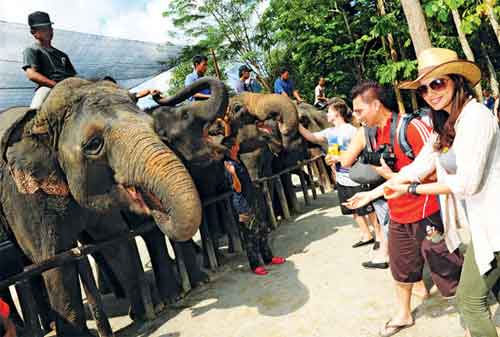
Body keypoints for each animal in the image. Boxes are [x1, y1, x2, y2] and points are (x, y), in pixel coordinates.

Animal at [1, 77, 203, 334]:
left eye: (152, 126)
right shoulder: (26, 196)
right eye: (94, 144)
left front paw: (146, 312)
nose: (155, 206)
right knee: (29, 265)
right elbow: (55, 261)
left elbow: (114, 240)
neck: (40, 119)